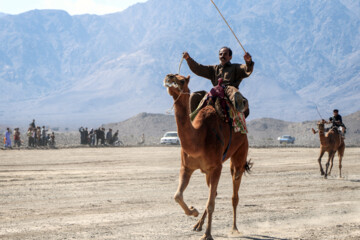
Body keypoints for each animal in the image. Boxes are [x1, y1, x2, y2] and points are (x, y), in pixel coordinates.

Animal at [165, 73, 252, 240]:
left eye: (182, 80)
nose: (169, 77)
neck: (199, 138)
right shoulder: (186, 167)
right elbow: (177, 196)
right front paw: (193, 211)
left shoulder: (217, 167)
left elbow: (211, 204)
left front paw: (208, 235)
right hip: (207, 172)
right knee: (214, 193)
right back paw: (198, 224)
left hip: (240, 152)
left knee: (234, 195)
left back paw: (234, 228)